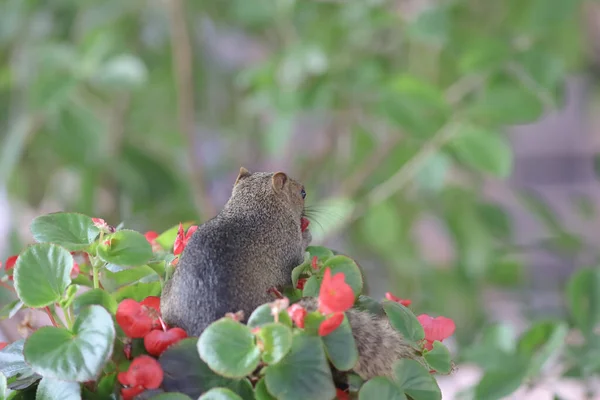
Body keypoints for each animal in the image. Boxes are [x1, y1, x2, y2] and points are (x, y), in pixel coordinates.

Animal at [159, 168, 422, 388]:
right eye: (302, 192)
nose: (307, 216)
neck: (254, 206)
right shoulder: (288, 248)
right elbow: (296, 260)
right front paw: (308, 234)